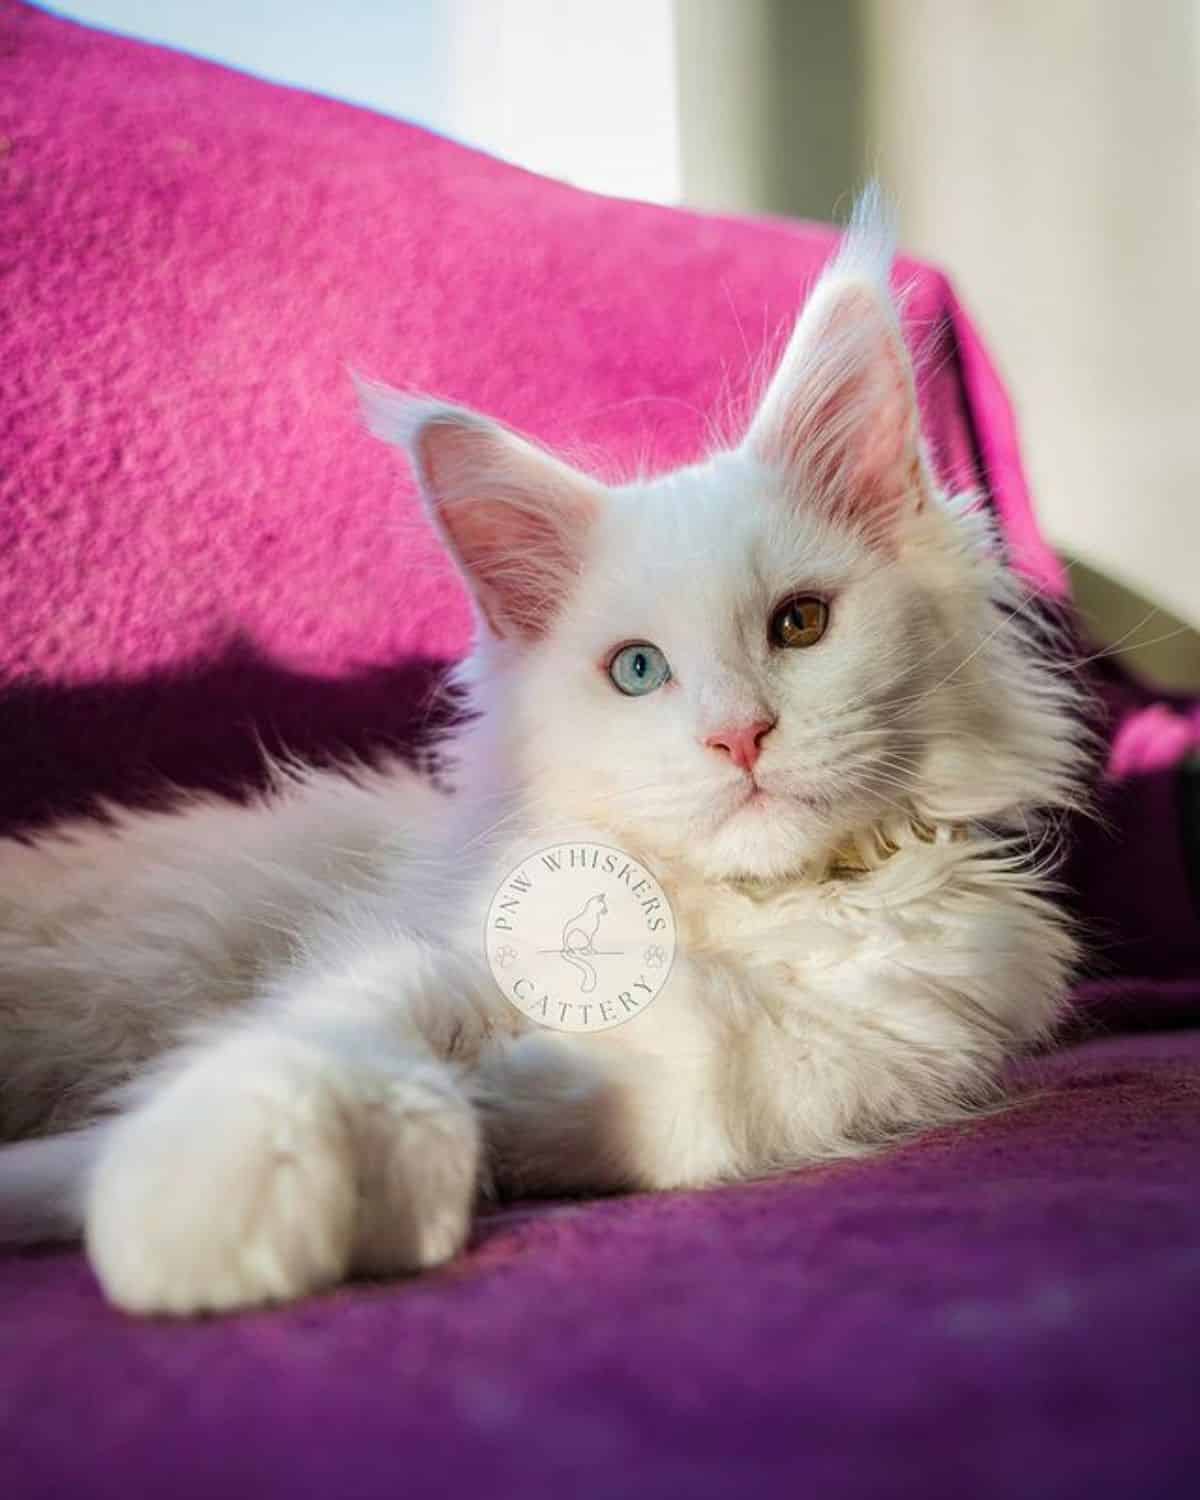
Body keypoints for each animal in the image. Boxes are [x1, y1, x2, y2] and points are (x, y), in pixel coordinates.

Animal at [2, 208, 1086, 1314]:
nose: (739, 734)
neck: (734, 913)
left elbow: (732, 1092)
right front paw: (220, 1203)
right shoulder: (419, 950)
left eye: (802, 623)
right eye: (639, 670)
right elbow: (324, 1040)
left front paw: (512, 1110)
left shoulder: (916, 1034)